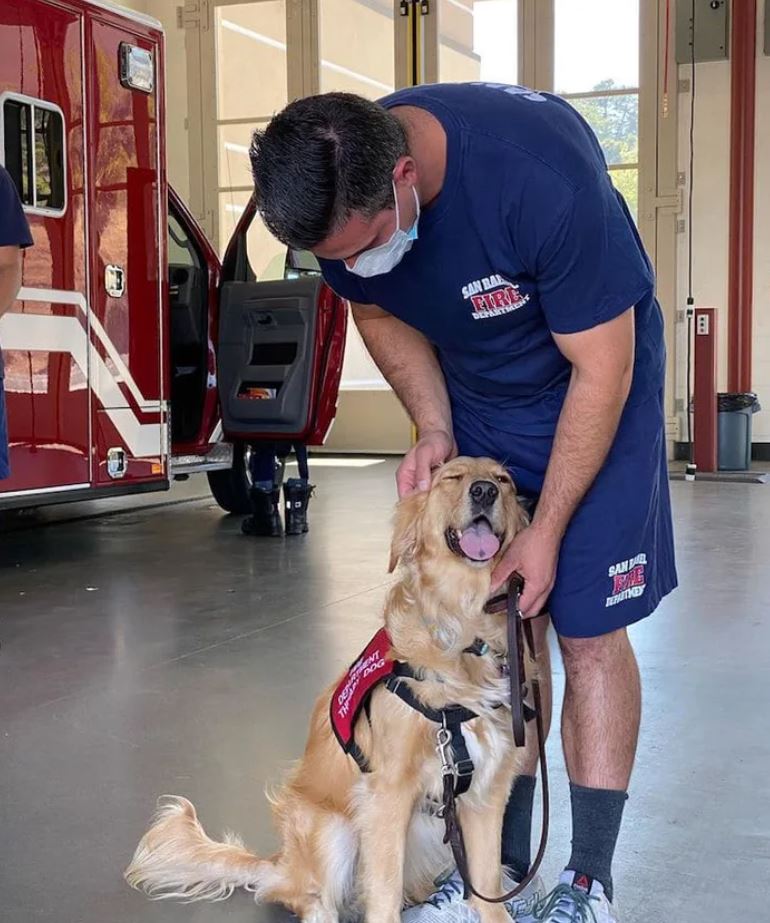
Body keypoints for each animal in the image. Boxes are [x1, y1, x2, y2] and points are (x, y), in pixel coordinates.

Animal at [126, 456, 536, 923]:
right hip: (330, 828)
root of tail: (280, 863)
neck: (462, 628)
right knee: (314, 900)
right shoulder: (386, 794)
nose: (484, 491)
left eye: (504, 481)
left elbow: (487, 887)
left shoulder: (487, 791)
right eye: (451, 477)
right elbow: (383, 896)